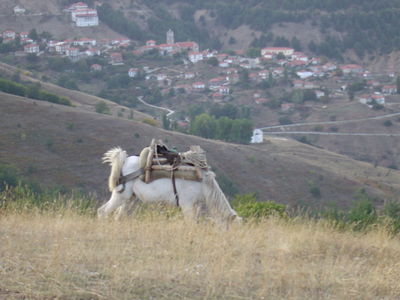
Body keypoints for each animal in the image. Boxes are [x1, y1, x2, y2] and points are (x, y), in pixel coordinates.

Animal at [97, 146, 241, 224]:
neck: (203, 183)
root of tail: (124, 160)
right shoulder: (187, 205)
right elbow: (191, 223)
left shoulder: (196, 206)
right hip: (120, 196)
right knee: (102, 212)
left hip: (129, 199)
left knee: (118, 217)